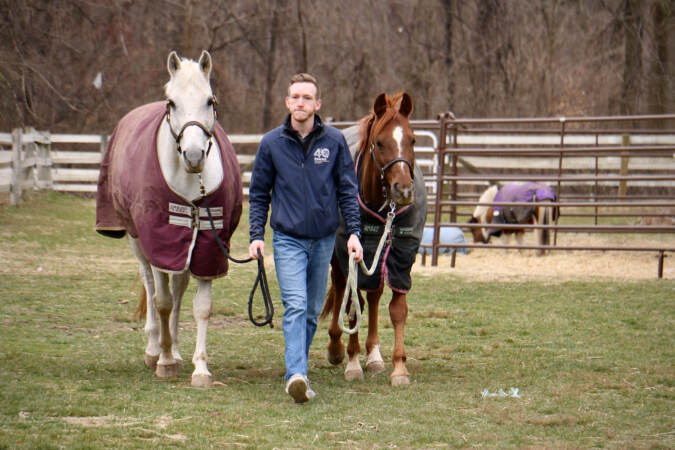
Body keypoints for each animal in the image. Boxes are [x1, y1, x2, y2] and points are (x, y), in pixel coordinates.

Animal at [95, 49, 243, 386]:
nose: (194, 155)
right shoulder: (159, 242)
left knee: (178, 291)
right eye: (171, 103)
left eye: (210, 101)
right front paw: (163, 360)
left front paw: (199, 367)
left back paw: (174, 348)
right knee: (151, 287)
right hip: (138, 242)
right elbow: (161, 302)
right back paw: (155, 349)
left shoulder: (207, 246)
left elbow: (201, 307)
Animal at [322, 92, 428, 386]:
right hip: (340, 256)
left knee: (374, 294)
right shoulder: (351, 253)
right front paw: (353, 363)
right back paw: (336, 347)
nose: (403, 191)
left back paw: (374, 354)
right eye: (380, 142)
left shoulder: (402, 255)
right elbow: (353, 304)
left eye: (412, 140)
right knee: (341, 290)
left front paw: (399, 367)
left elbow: (397, 309)